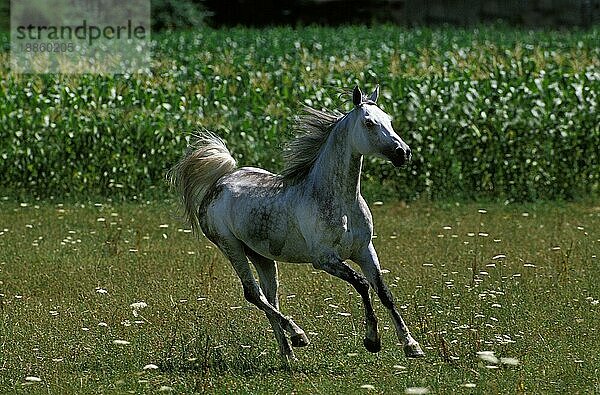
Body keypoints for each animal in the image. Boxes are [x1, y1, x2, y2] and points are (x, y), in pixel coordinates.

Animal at [166, 86, 424, 362]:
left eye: (389, 120)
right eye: (368, 122)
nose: (403, 152)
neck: (340, 201)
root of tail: (219, 182)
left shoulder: (364, 250)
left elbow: (384, 293)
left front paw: (412, 345)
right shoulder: (325, 260)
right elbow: (363, 285)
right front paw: (372, 340)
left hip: (261, 255)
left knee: (270, 297)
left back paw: (288, 354)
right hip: (231, 247)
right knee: (253, 294)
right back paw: (299, 335)